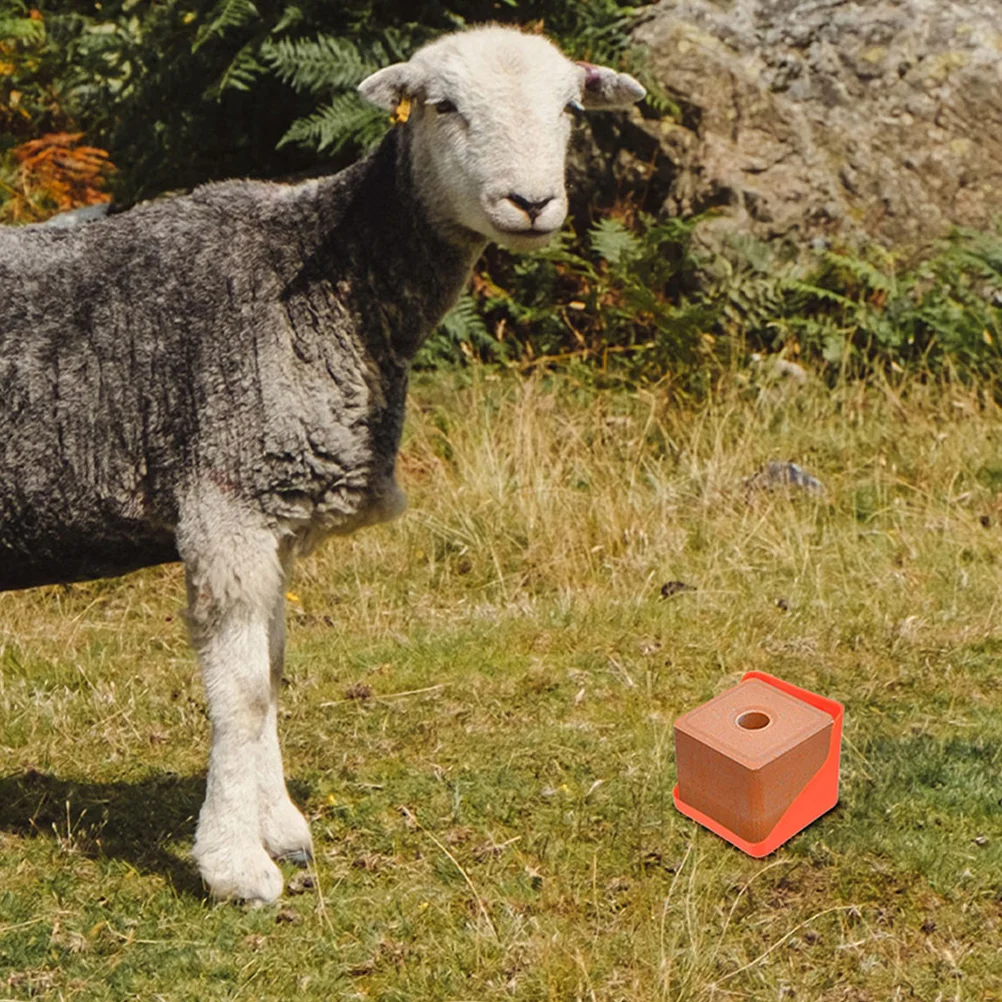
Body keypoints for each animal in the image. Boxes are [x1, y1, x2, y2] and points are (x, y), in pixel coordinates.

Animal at [0, 23, 641, 905]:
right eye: (442, 105)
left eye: (572, 109)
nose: (531, 203)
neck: (322, 277)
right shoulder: (226, 501)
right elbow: (239, 692)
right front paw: (236, 867)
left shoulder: (277, 516)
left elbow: (271, 669)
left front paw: (281, 830)